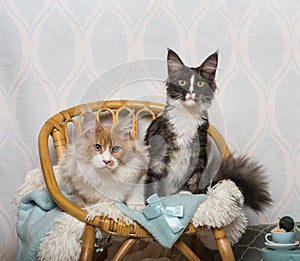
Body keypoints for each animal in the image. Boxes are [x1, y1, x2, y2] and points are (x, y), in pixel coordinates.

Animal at [144, 48, 274, 211]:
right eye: (182, 82)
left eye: (200, 84)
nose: (191, 93)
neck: (187, 117)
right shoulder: (159, 155)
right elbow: (153, 185)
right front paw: (150, 205)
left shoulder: (199, 152)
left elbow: (195, 179)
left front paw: (192, 196)